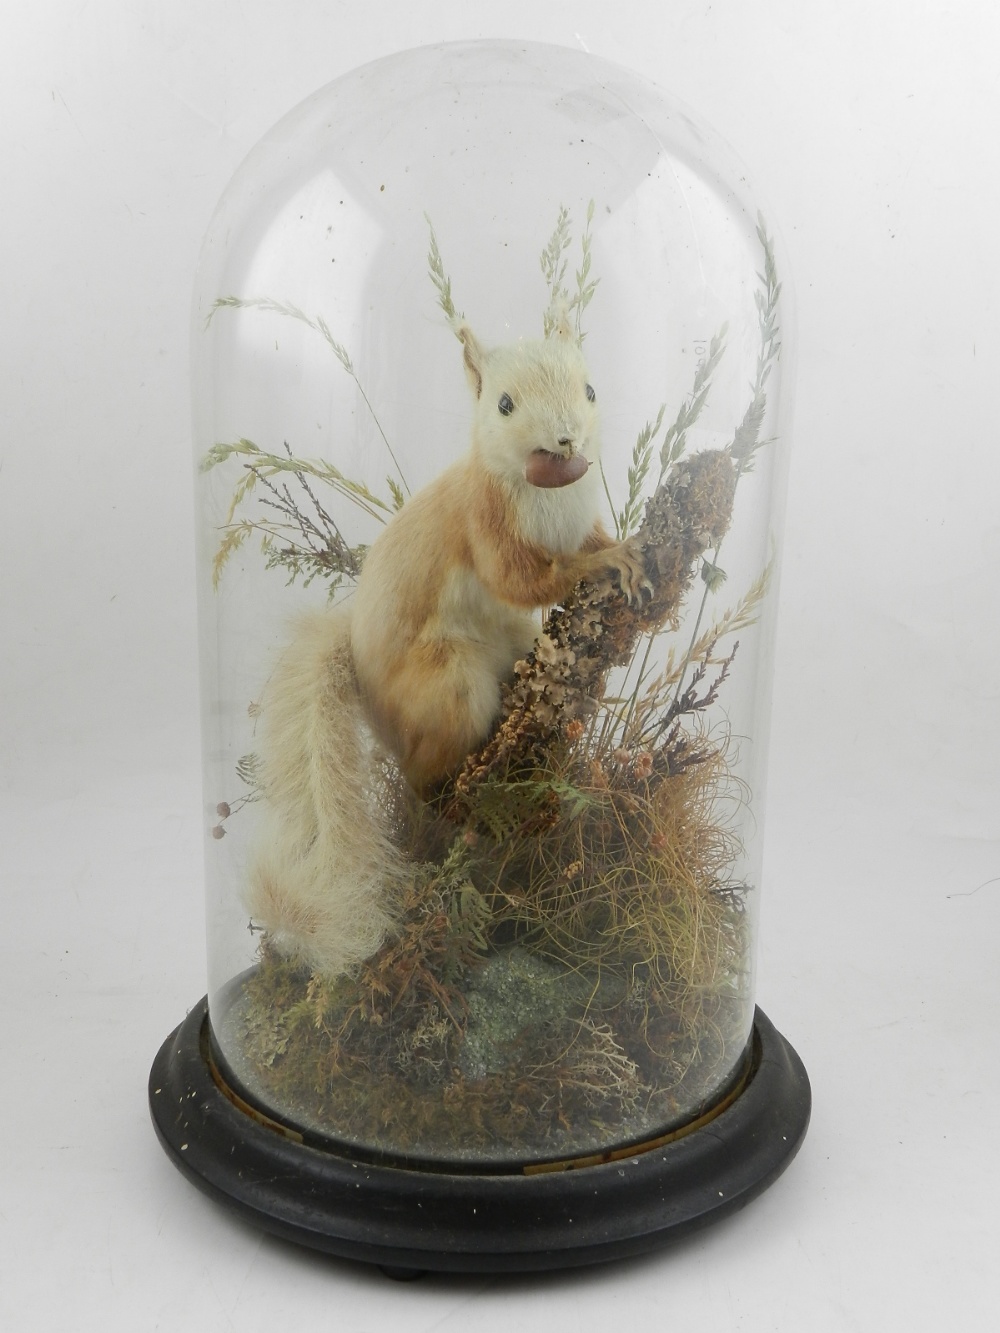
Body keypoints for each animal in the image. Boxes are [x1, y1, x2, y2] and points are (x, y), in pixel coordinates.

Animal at [246, 315, 645, 975]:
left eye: (591, 389)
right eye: (504, 404)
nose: (565, 441)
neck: (548, 491)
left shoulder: (575, 518)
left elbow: (585, 542)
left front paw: (617, 545)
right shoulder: (486, 522)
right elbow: (524, 579)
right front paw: (604, 564)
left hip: (517, 641)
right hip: (448, 687)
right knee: (422, 770)